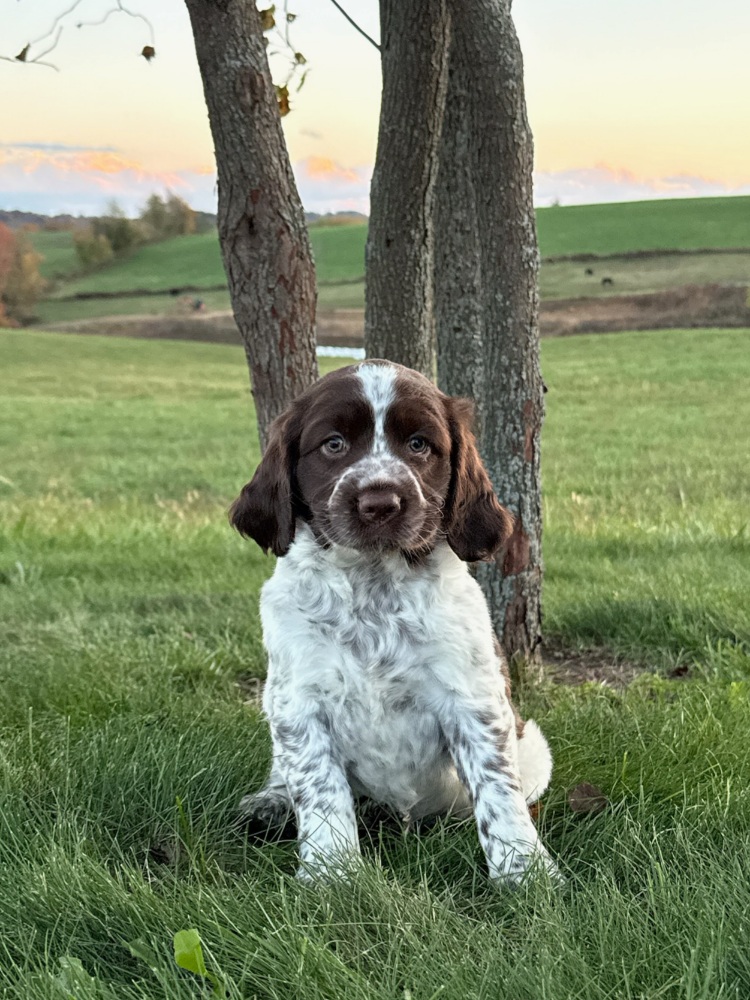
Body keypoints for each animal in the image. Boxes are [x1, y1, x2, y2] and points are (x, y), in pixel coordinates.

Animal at [232, 360, 556, 884]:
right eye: (333, 444)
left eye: (419, 444)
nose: (380, 503)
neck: (374, 586)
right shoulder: (298, 703)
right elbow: (320, 790)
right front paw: (333, 875)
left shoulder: (472, 699)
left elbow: (497, 789)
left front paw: (524, 871)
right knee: (286, 776)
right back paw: (271, 805)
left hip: (533, 747)